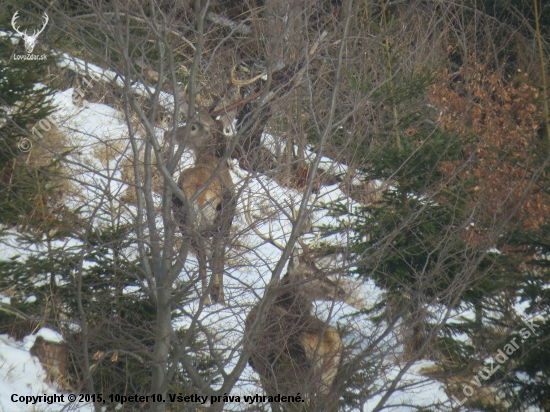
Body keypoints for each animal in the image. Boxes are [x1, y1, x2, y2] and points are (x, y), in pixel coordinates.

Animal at [247, 249, 354, 410]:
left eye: (322, 272)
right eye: (307, 274)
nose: (341, 292)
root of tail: (328, 340)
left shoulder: (263, 370)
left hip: (294, 373)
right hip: (330, 378)